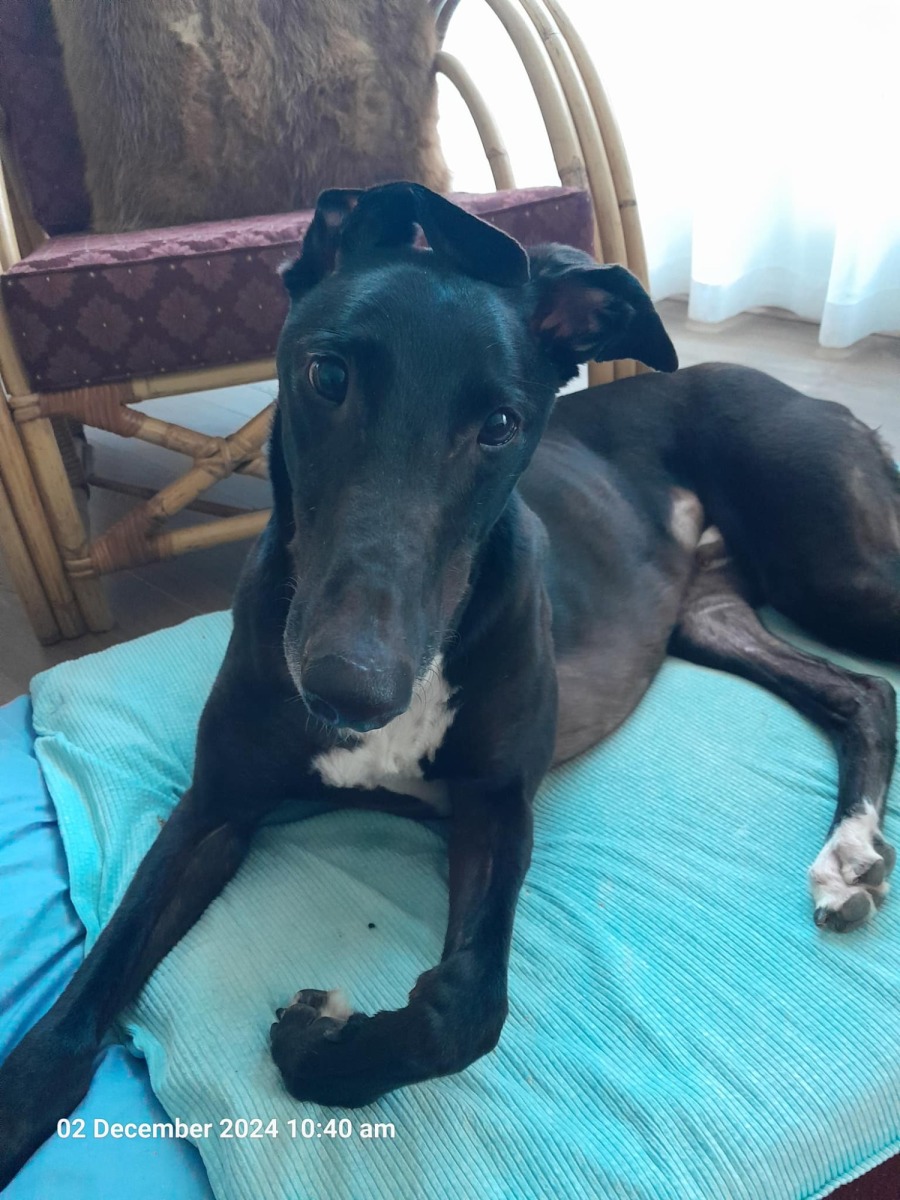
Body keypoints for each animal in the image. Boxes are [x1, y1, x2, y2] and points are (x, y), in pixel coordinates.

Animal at [1, 182, 897, 1185]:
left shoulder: (496, 807)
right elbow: (100, 968)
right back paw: (846, 853)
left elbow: (466, 1010)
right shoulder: (216, 805)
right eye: (327, 377)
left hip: (838, 574)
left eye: (501, 424)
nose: (349, 689)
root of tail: (806, 394)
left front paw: (317, 1042)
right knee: (863, 693)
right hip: (715, 615)